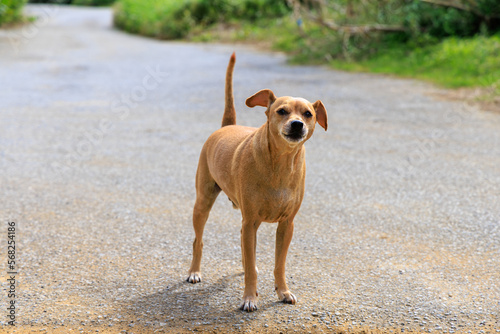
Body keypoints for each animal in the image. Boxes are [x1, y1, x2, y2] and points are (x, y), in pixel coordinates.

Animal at [186, 52, 326, 310]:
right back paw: (194, 272)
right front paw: (250, 298)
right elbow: (251, 267)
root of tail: (227, 126)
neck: (280, 165)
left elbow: (279, 264)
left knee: (244, 246)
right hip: (203, 203)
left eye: (308, 114)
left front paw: (283, 291)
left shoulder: (286, 224)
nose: (297, 124)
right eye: (281, 111)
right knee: (198, 241)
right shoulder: (250, 220)